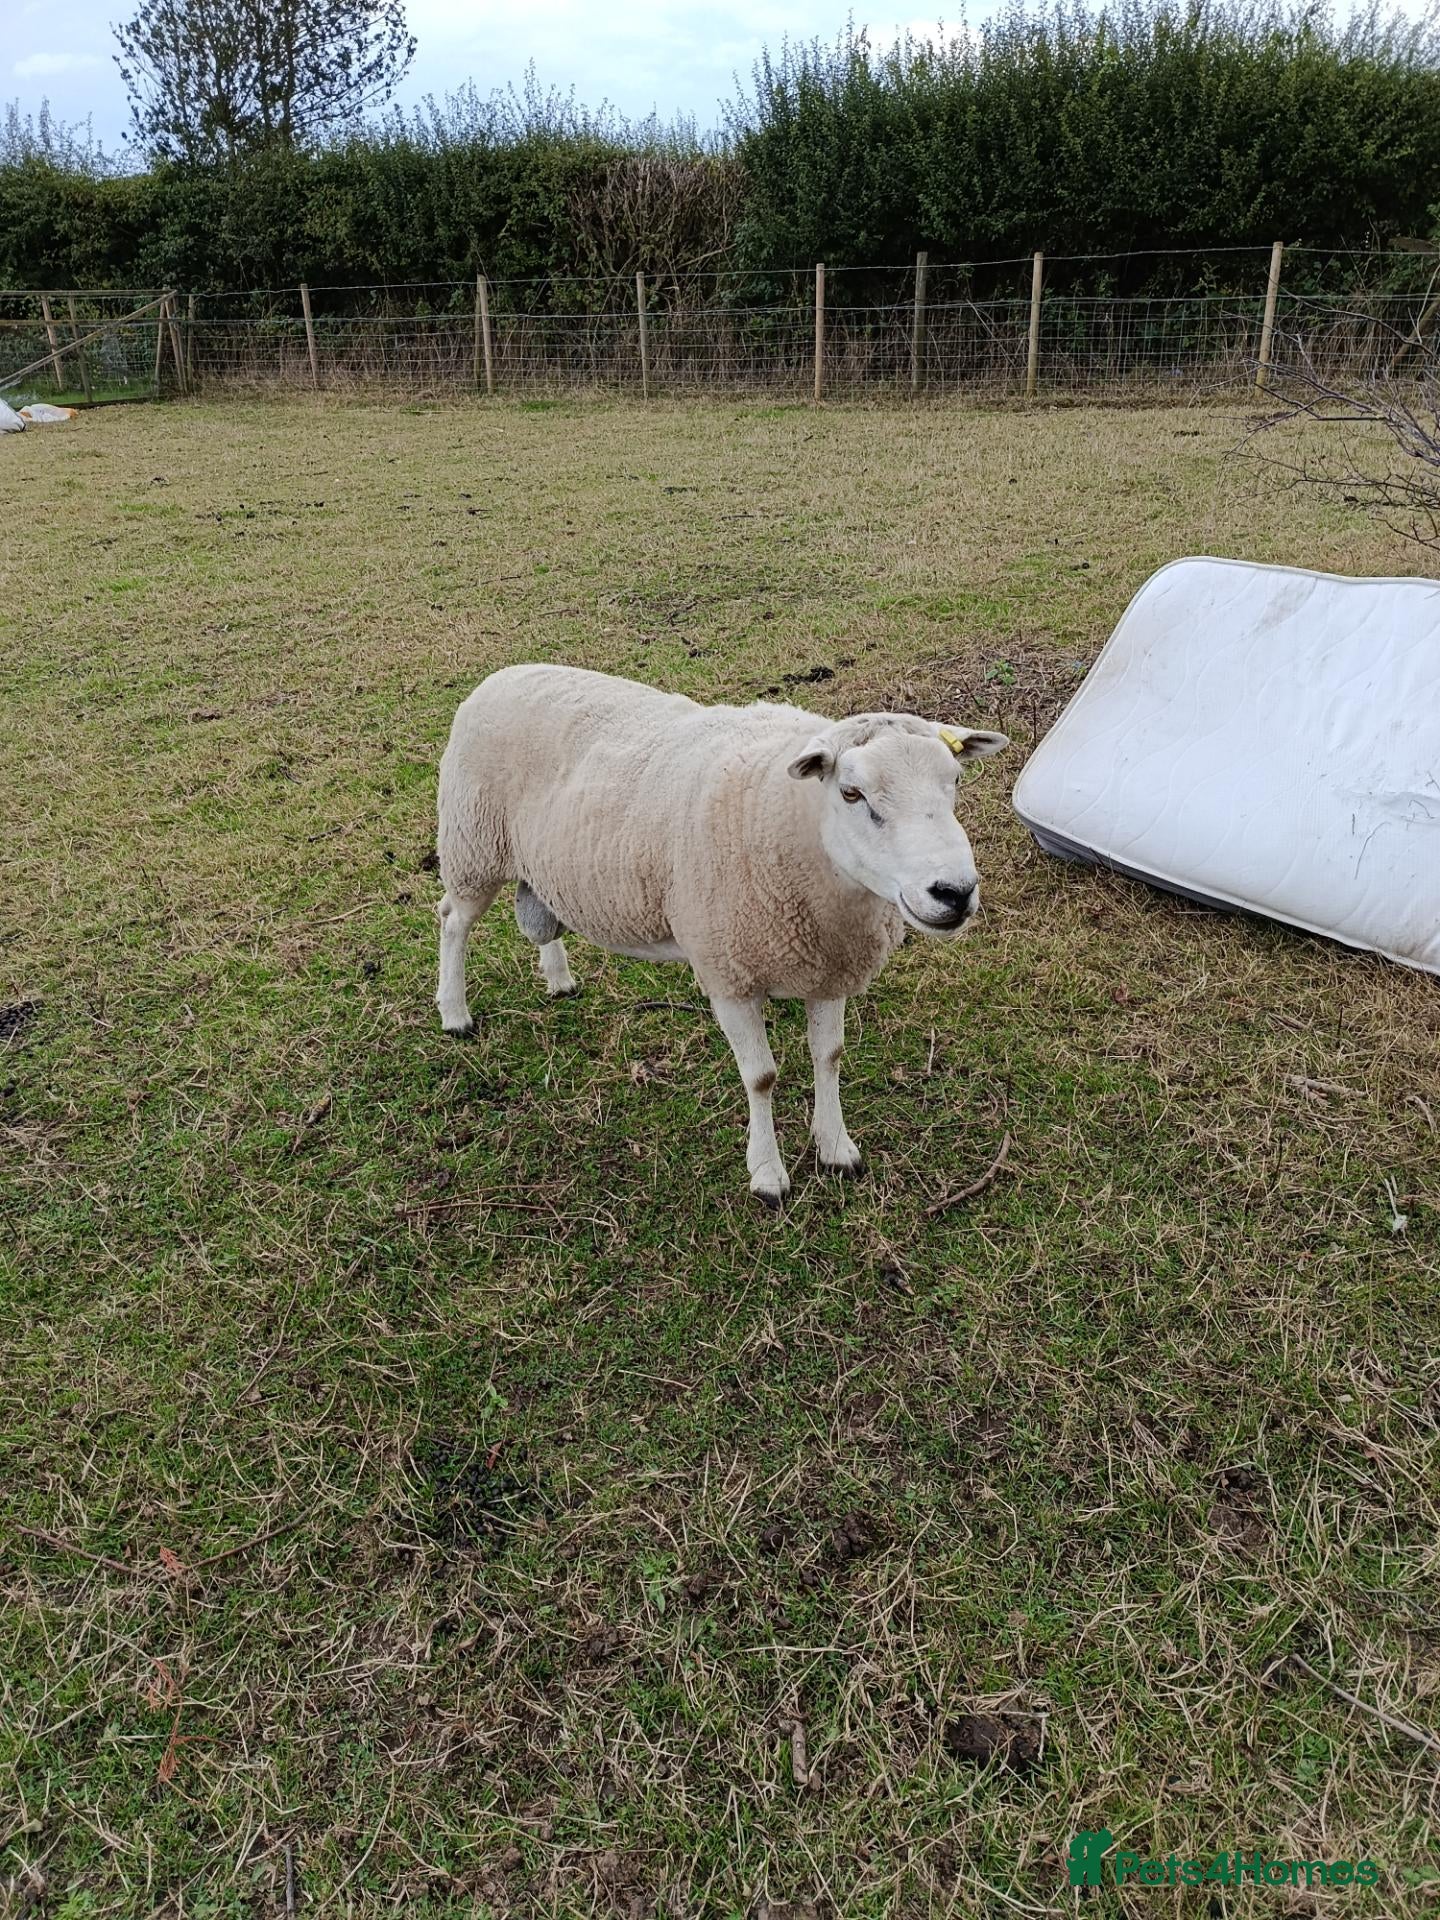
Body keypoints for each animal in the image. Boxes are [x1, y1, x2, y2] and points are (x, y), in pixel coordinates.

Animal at [436, 664, 1007, 1203]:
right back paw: (455, 1013)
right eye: (851, 792)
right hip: (472, 845)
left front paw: (836, 1147)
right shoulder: (727, 970)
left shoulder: (828, 965)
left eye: (956, 781)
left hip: (538, 863)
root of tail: (504, 673)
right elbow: (761, 1077)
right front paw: (768, 1174)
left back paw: (558, 978)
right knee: (451, 921)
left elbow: (829, 1056)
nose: (955, 892)